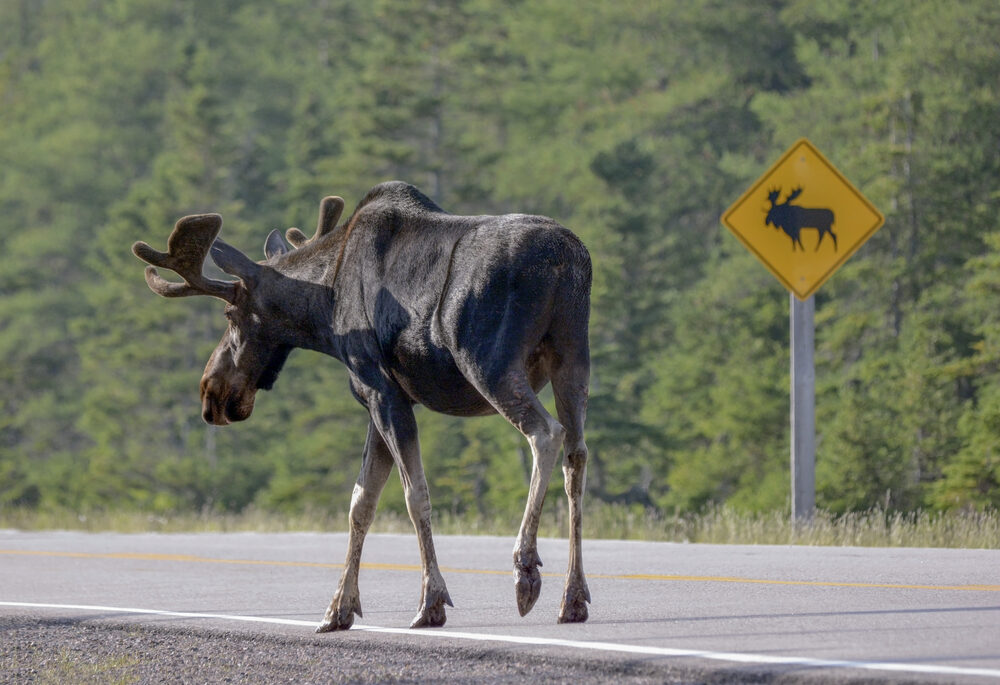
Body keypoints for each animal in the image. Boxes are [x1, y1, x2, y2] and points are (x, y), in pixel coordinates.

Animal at [131, 182, 593, 631]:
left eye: (230, 314)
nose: (211, 393)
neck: (325, 309)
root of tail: (568, 260)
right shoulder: (381, 400)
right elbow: (361, 502)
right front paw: (340, 608)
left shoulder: (380, 389)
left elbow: (414, 495)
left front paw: (430, 602)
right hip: (571, 358)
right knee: (576, 455)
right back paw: (573, 597)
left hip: (489, 361)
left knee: (545, 434)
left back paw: (525, 569)